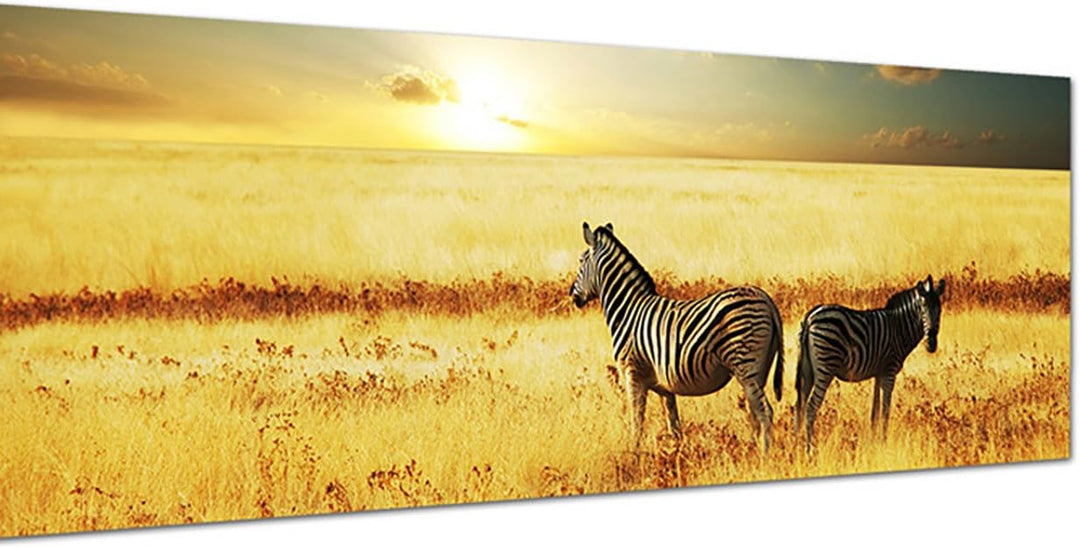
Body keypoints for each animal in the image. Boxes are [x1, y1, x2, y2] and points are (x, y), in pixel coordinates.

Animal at [569, 222, 784, 452]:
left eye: (580, 261)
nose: (572, 295)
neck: (628, 309)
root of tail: (766, 298)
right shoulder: (665, 385)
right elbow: (674, 425)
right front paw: (677, 455)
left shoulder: (632, 372)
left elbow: (637, 422)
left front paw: (634, 455)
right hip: (759, 369)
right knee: (755, 413)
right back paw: (751, 451)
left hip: (745, 365)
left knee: (765, 412)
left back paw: (763, 455)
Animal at [794, 275, 946, 451]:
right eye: (922, 310)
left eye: (939, 311)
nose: (932, 344)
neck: (899, 328)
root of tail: (810, 317)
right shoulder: (889, 371)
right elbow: (886, 410)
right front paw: (884, 441)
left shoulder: (878, 373)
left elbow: (875, 410)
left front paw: (874, 440)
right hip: (825, 366)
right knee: (811, 406)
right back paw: (809, 449)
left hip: (807, 371)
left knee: (799, 405)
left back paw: (794, 443)